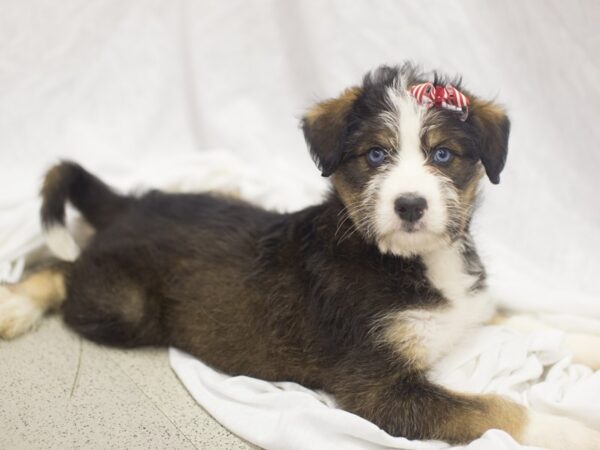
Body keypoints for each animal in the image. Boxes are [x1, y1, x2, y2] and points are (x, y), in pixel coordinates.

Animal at [1, 64, 600, 450]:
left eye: (443, 154)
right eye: (375, 155)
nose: (409, 205)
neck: (404, 258)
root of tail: (129, 202)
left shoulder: (468, 311)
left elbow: (528, 322)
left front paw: (586, 344)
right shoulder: (377, 390)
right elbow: (495, 408)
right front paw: (572, 431)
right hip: (122, 306)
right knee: (63, 267)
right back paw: (17, 306)